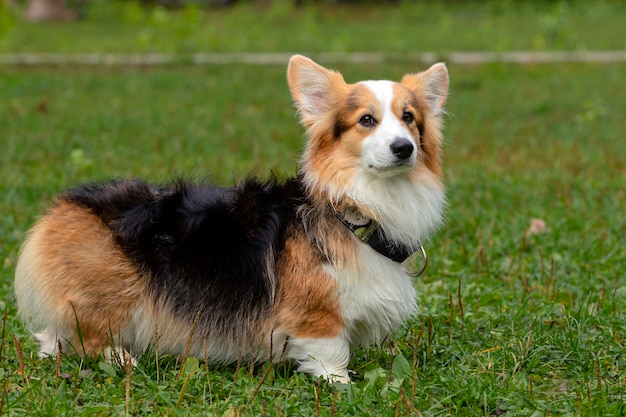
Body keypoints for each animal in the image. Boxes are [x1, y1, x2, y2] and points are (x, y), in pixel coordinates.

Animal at [12, 55, 446, 384]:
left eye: (408, 117)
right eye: (366, 120)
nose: (404, 148)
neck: (355, 209)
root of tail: (62, 207)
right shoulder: (316, 315)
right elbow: (331, 353)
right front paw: (341, 385)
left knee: (53, 338)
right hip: (114, 287)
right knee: (84, 337)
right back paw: (123, 359)